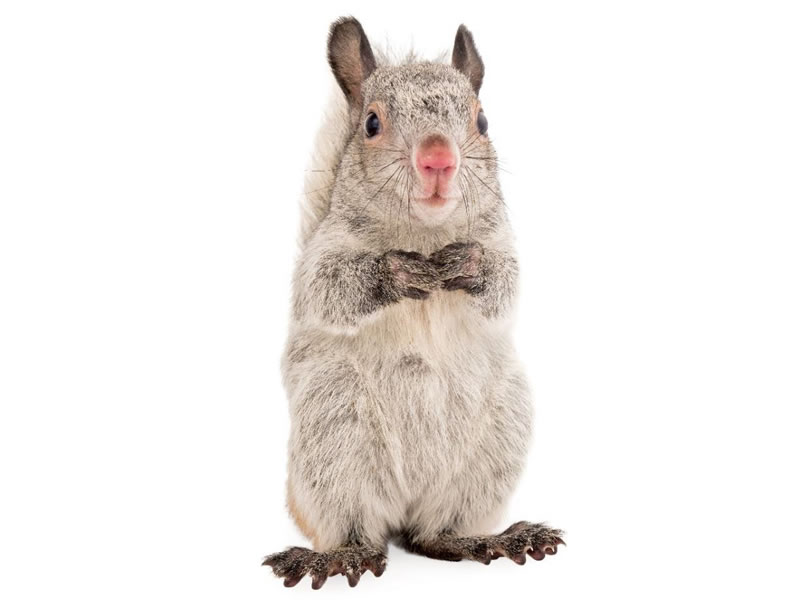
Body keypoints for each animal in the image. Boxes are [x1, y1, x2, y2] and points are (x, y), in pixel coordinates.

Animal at [263, 17, 564, 589]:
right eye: (372, 124)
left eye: (482, 120)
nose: (438, 159)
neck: (426, 237)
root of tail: (403, 509)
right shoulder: (321, 259)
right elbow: (332, 289)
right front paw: (398, 272)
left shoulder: (503, 246)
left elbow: (505, 285)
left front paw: (470, 265)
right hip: (335, 436)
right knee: (358, 524)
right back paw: (342, 555)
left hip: (493, 443)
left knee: (435, 534)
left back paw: (488, 539)